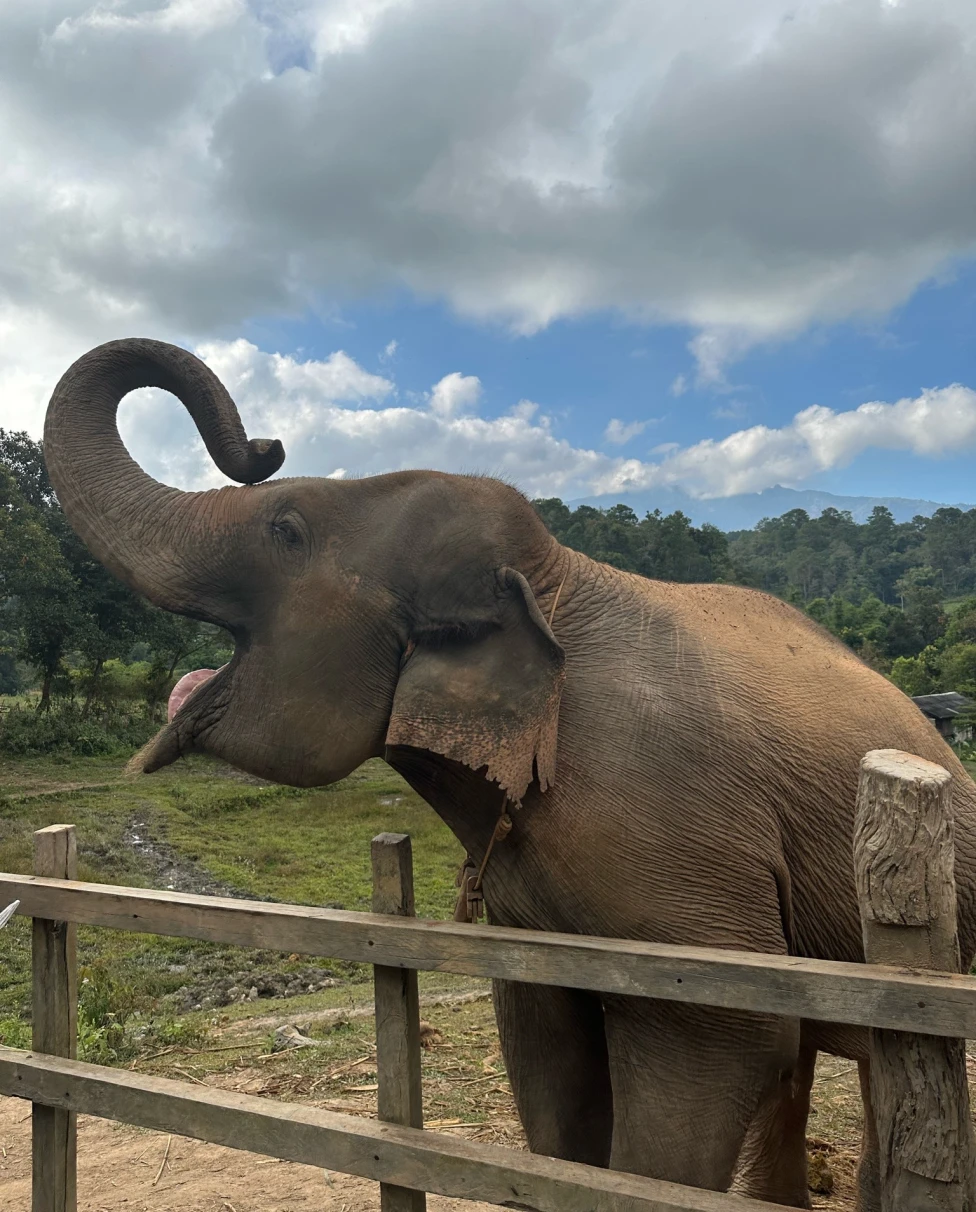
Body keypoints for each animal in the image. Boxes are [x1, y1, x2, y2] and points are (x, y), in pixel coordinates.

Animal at [43, 337, 976, 1209]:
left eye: (285, 526)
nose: (263, 443)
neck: (557, 579)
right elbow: (549, 1068)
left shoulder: (688, 871)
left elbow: (717, 1051)